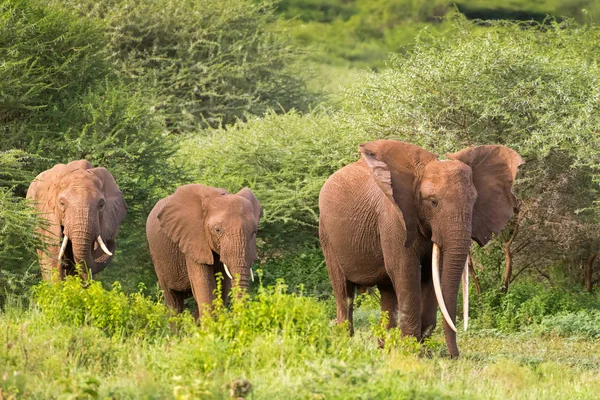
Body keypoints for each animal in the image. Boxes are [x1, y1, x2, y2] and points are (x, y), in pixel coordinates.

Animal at [146, 184, 262, 318]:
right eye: (217, 230)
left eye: (254, 232)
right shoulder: (192, 239)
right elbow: (205, 288)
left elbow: (222, 288)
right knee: (174, 302)